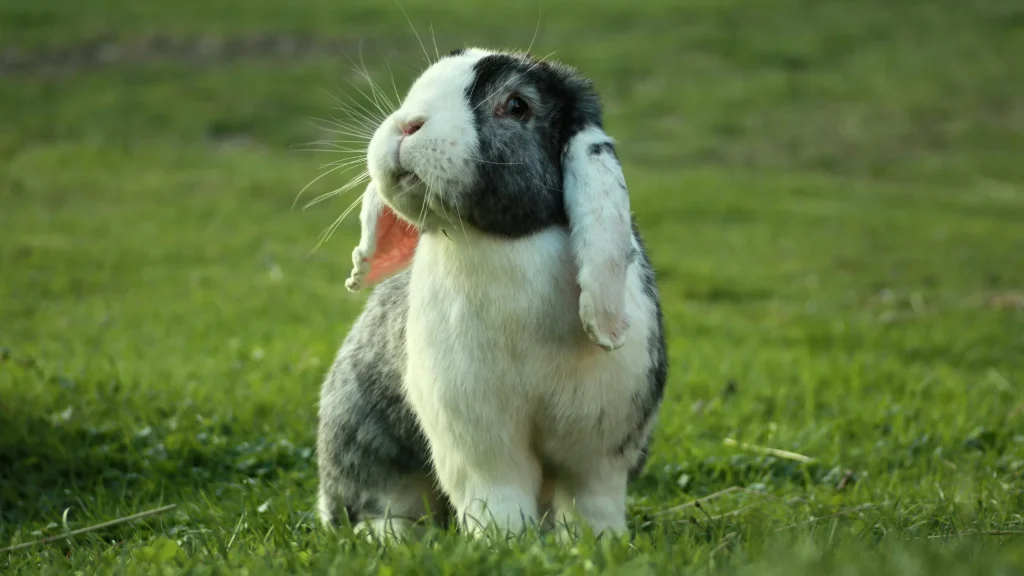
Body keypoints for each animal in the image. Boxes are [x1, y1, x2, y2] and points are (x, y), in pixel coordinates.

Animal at [316, 47, 667, 540]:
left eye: (517, 106)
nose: (407, 125)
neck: (503, 241)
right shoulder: (476, 432)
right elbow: (497, 493)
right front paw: (503, 543)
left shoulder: (599, 444)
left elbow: (591, 501)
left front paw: (595, 546)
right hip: (363, 440)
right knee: (380, 505)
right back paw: (393, 539)